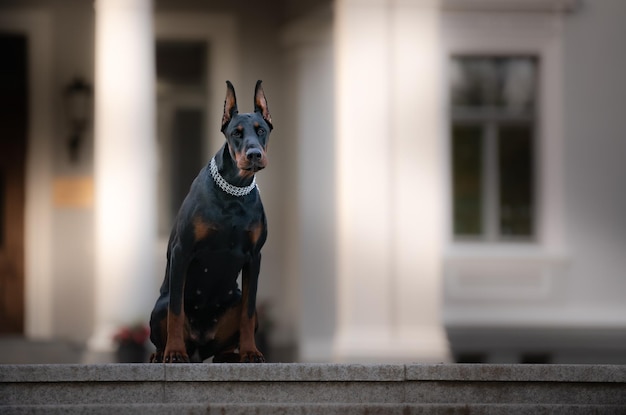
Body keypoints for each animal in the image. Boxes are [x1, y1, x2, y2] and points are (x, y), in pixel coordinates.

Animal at [150, 81, 272, 364]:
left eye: (261, 130)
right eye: (236, 133)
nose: (254, 154)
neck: (233, 191)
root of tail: (199, 346)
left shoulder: (255, 257)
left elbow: (249, 311)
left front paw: (251, 352)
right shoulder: (182, 250)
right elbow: (175, 311)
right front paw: (174, 352)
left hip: (233, 302)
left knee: (225, 344)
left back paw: (232, 356)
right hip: (159, 306)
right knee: (167, 316)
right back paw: (162, 353)